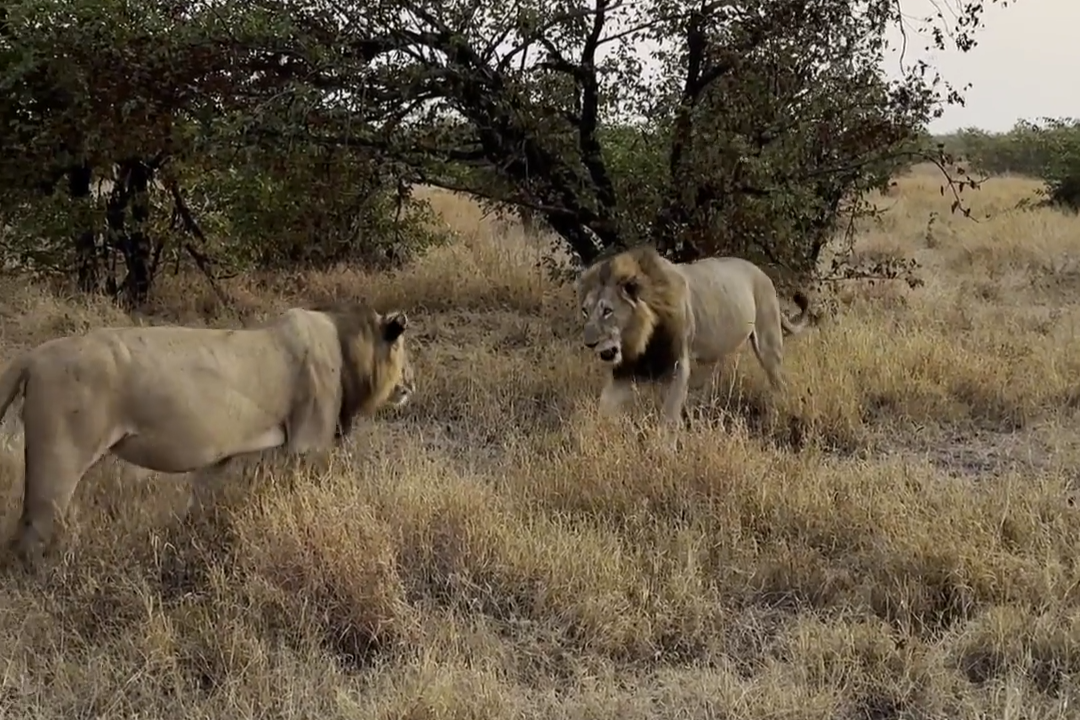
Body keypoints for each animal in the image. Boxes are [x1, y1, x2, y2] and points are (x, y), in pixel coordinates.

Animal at [0, 301, 413, 568]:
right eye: (403, 350)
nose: (410, 384)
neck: (348, 345)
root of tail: (32, 357)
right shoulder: (307, 444)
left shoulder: (221, 457)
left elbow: (205, 499)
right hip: (59, 458)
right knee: (30, 532)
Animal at [575, 244, 811, 425]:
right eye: (585, 311)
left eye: (607, 311)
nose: (589, 343)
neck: (641, 339)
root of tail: (762, 273)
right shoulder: (623, 370)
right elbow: (604, 407)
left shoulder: (678, 366)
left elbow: (669, 417)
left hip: (768, 344)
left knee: (779, 384)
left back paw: (778, 416)